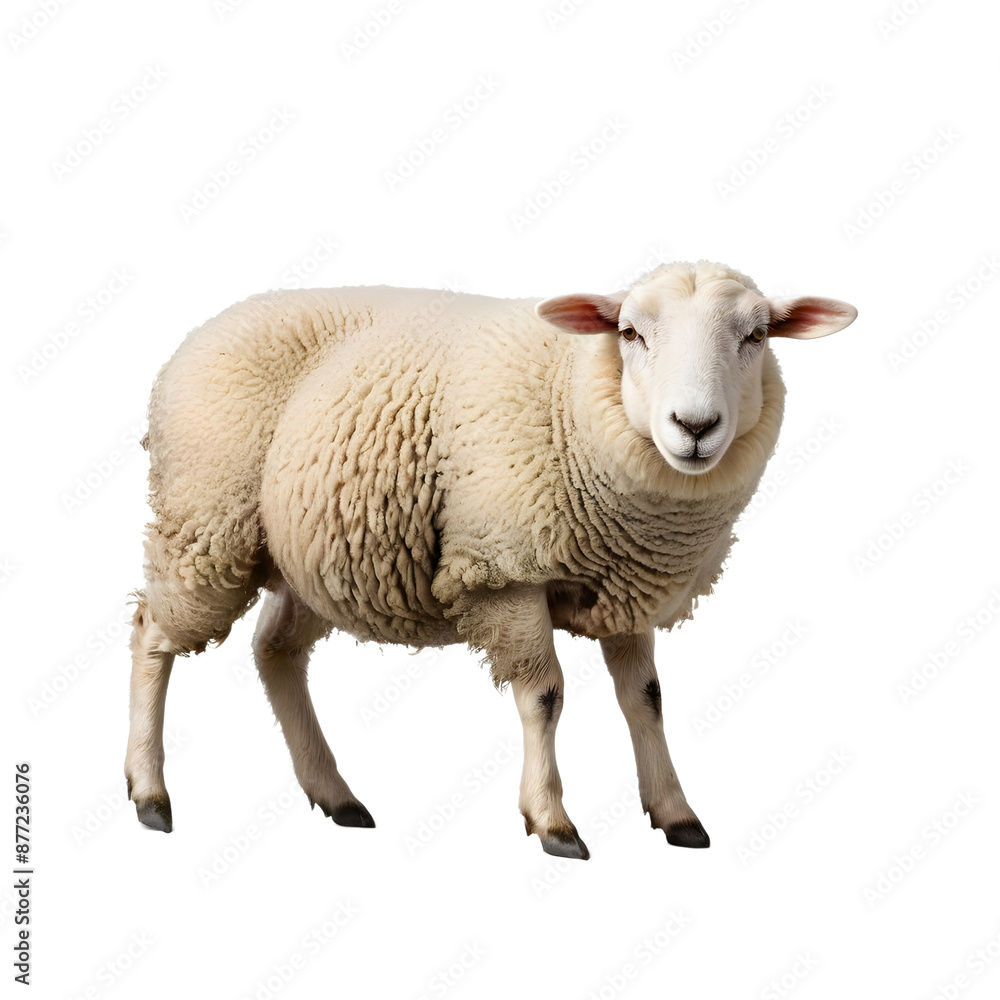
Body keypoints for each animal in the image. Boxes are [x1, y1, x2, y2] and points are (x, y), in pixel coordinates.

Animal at [124, 259, 857, 859]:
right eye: (629, 333)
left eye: (756, 336)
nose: (696, 427)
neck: (570, 402)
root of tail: (202, 331)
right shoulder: (503, 570)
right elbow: (545, 695)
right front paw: (552, 820)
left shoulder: (627, 588)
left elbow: (646, 699)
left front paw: (676, 813)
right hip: (205, 523)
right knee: (152, 635)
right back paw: (150, 793)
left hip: (310, 555)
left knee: (275, 651)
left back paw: (334, 794)